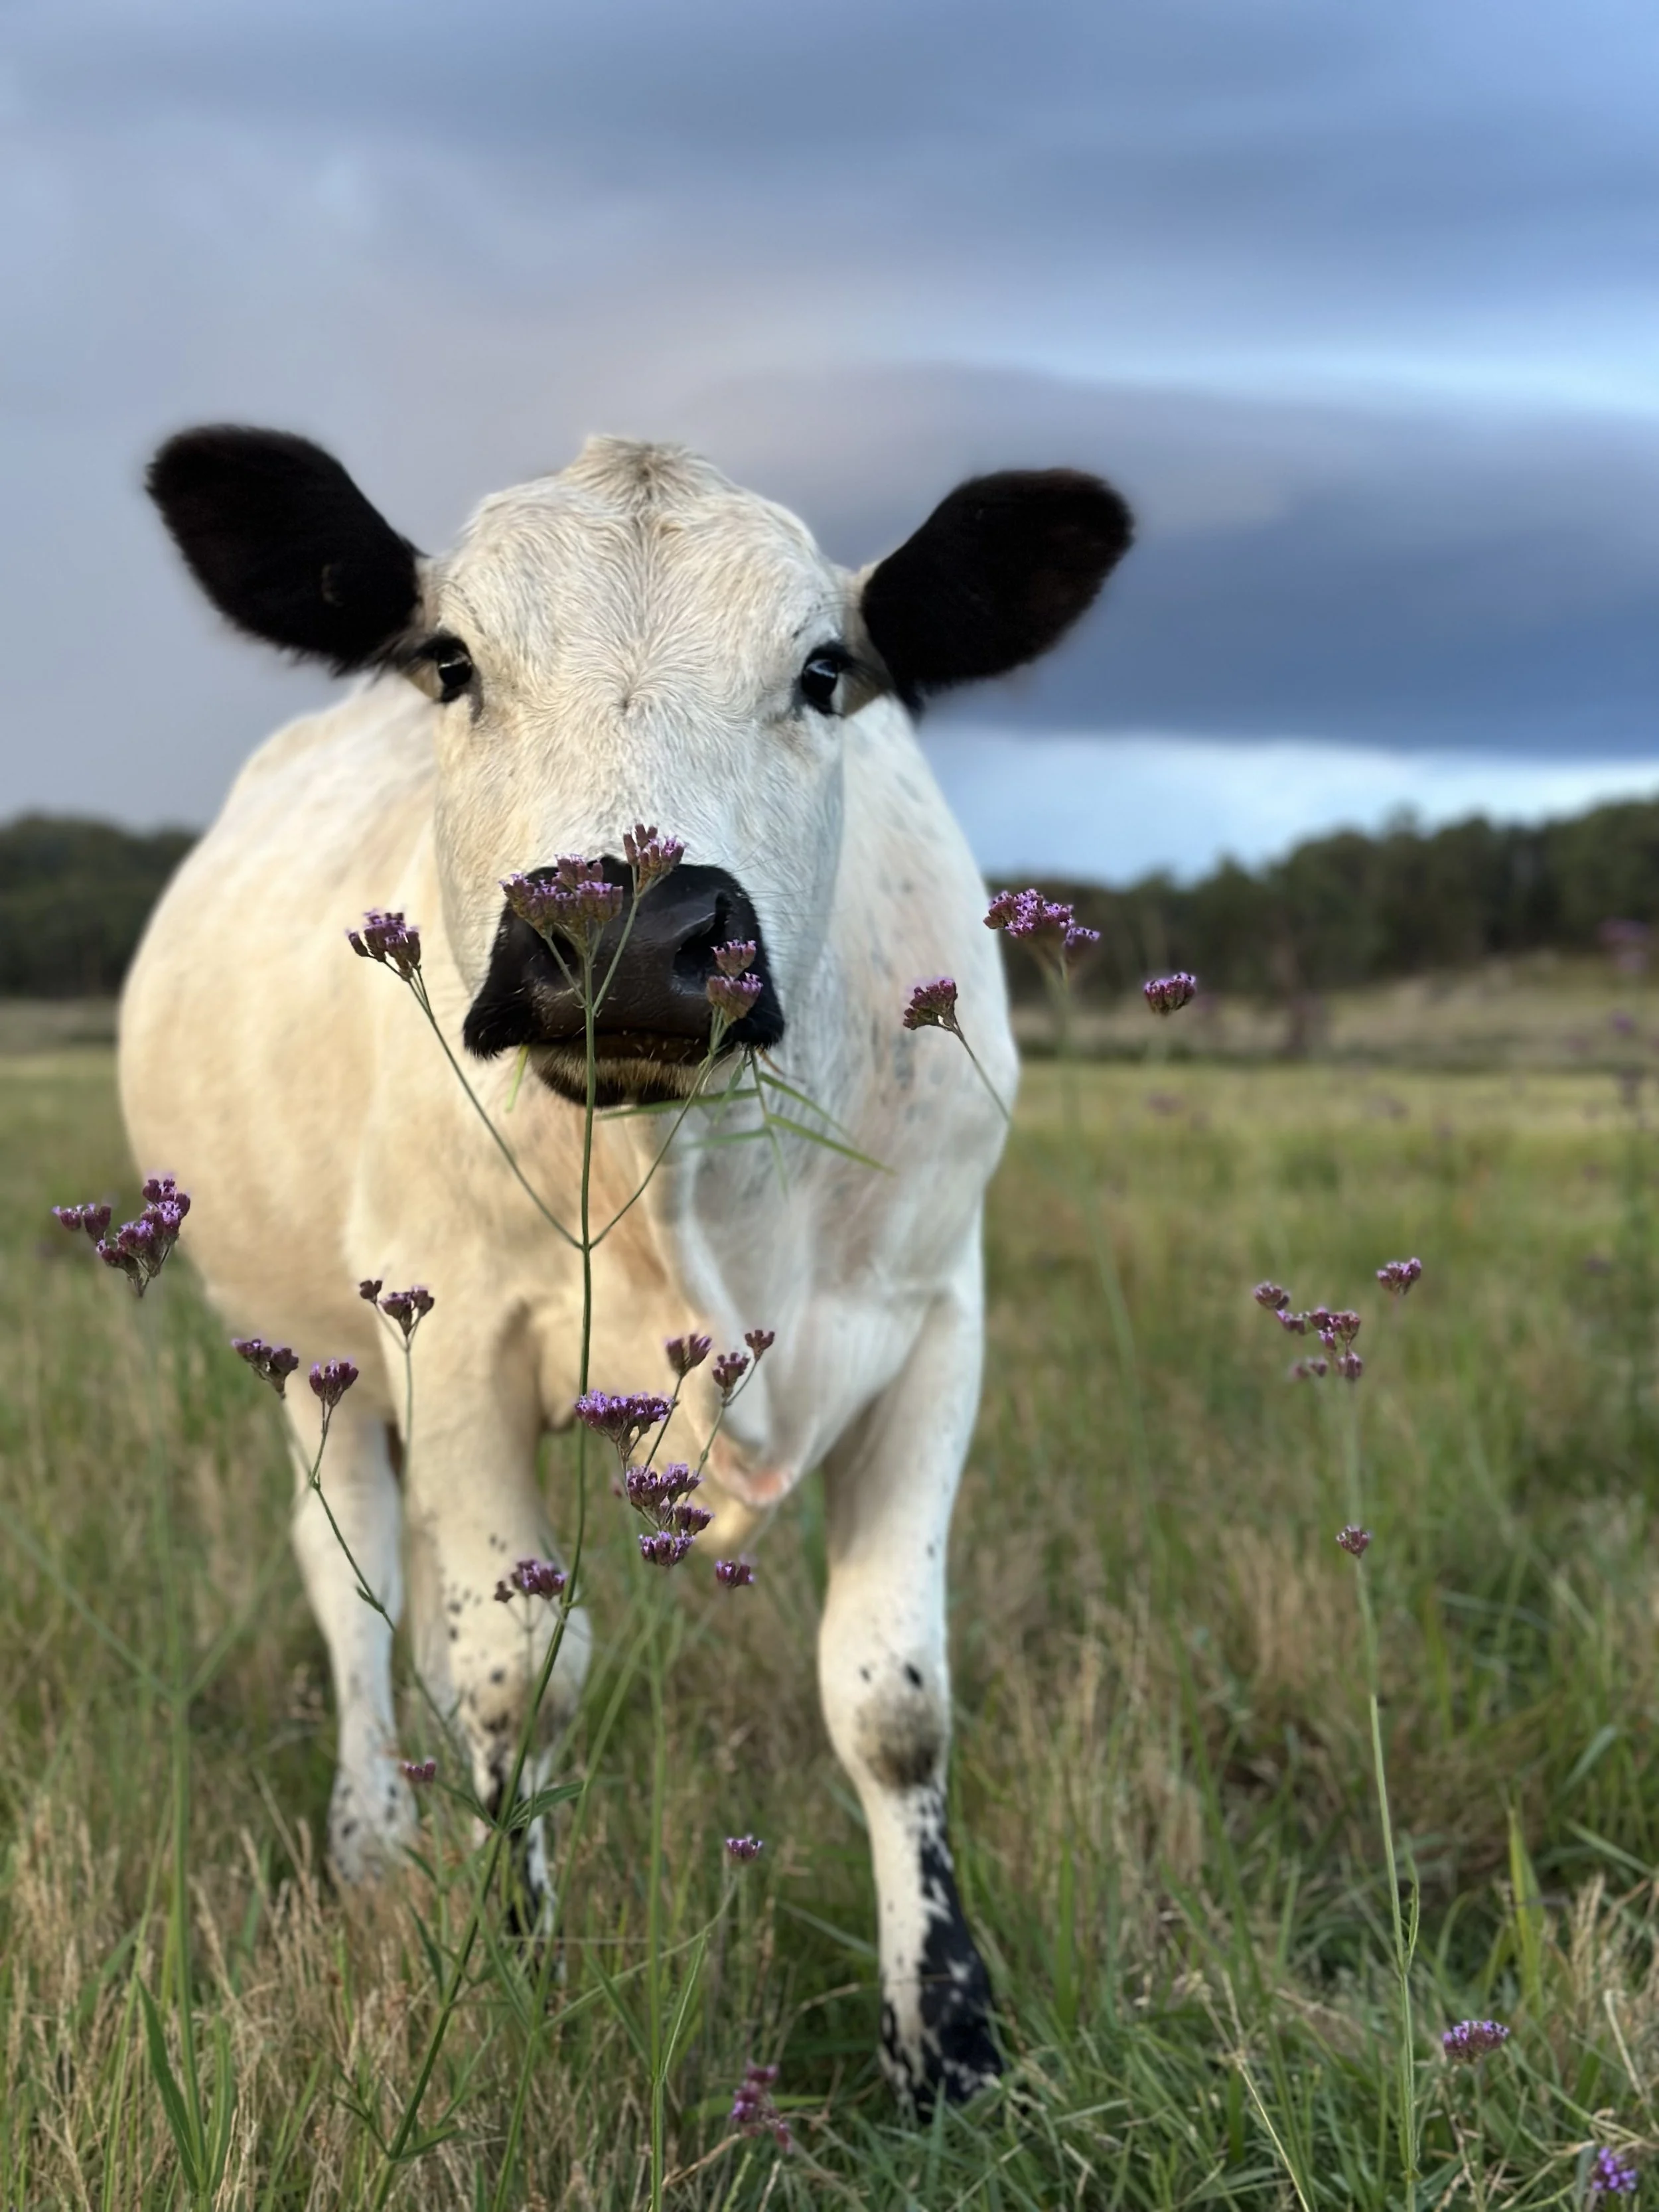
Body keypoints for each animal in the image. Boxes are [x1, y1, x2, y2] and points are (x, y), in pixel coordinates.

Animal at [121, 425, 1133, 2110]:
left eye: (823, 670)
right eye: (452, 662)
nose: (628, 940)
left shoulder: (935, 1323)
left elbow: (893, 1699)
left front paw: (947, 2040)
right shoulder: (451, 1336)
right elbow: (511, 1677)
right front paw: (518, 1991)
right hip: (313, 1359)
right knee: (352, 1581)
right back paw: (375, 1840)